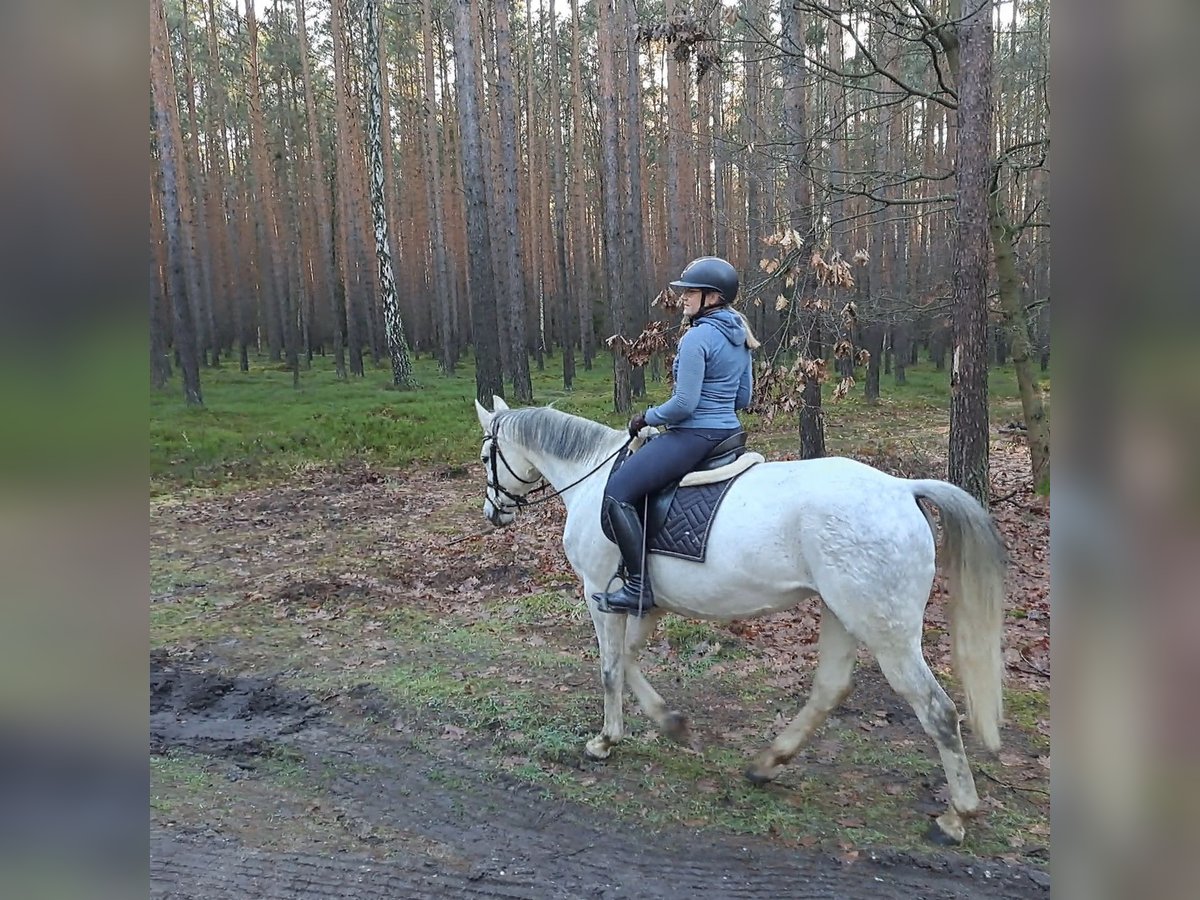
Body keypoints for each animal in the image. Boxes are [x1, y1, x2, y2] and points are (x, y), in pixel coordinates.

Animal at [473, 397, 1007, 845]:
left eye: (484, 458)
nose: (492, 514)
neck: (589, 478)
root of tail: (902, 488)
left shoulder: (599, 593)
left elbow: (609, 668)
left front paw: (605, 741)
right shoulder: (644, 602)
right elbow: (627, 660)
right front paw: (673, 724)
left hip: (887, 634)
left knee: (938, 712)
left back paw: (956, 817)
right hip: (840, 613)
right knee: (830, 688)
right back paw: (768, 764)